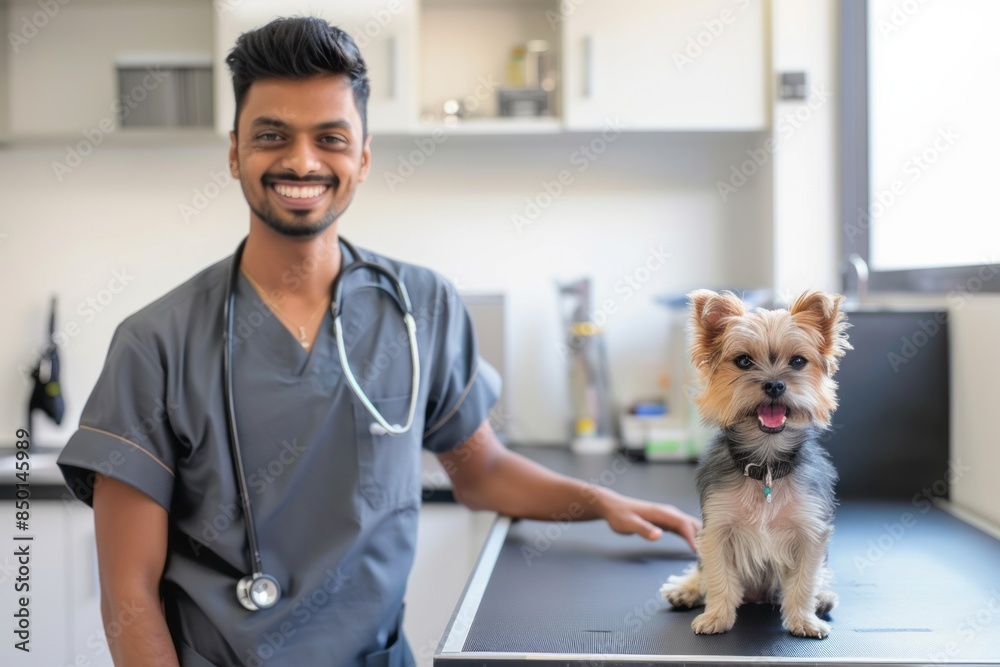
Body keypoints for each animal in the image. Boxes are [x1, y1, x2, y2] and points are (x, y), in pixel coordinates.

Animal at [660, 290, 848, 640]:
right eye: (744, 361)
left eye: (798, 361)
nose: (774, 384)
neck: (767, 465)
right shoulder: (717, 528)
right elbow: (718, 577)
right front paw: (716, 617)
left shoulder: (810, 530)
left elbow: (804, 581)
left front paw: (804, 620)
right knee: (701, 571)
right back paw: (686, 589)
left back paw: (823, 599)